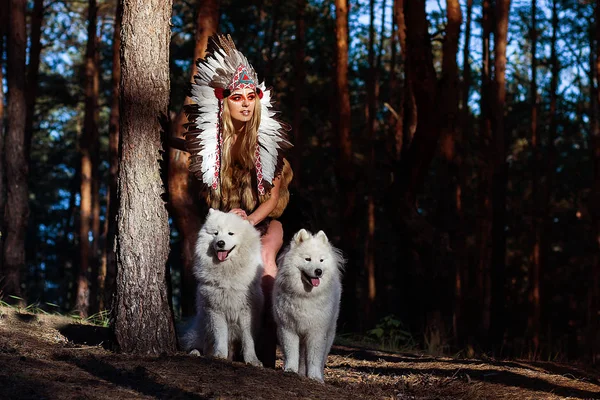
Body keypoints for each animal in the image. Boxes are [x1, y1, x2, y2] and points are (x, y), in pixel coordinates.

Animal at [178, 208, 262, 368]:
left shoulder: (247, 311)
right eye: (215, 233)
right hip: (202, 327)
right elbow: (220, 336)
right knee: (197, 344)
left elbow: (248, 339)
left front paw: (253, 360)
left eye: (230, 233)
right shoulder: (215, 309)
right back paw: (196, 353)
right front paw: (219, 356)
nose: (220, 243)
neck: (227, 271)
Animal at [272, 228, 342, 382]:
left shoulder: (317, 332)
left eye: (321, 260)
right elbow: (291, 353)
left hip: (330, 332)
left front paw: (315, 376)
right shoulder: (288, 328)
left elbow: (314, 358)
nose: (318, 271)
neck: (305, 295)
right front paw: (290, 370)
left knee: (321, 358)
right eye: (307, 259)